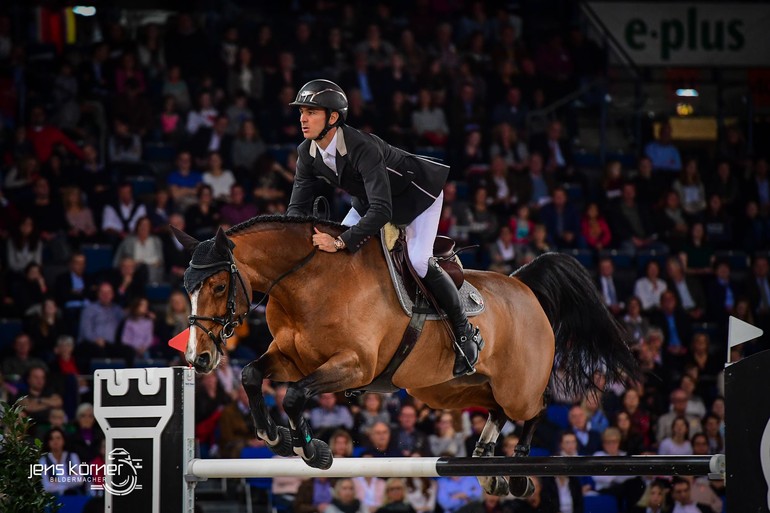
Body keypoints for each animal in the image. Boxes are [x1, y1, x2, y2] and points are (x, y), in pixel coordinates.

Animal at [176, 216, 636, 496]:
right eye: (187, 287)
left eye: (219, 286)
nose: (199, 358)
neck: (308, 283)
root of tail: (524, 286)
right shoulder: (291, 359)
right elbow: (252, 376)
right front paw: (276, 437)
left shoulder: (354, 365)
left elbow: (294, 396)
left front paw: (311, 450)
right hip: (445, 390)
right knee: (495, 409)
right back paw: (487, 462)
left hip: (516, 385)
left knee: (534, 407)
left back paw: (519, 471)